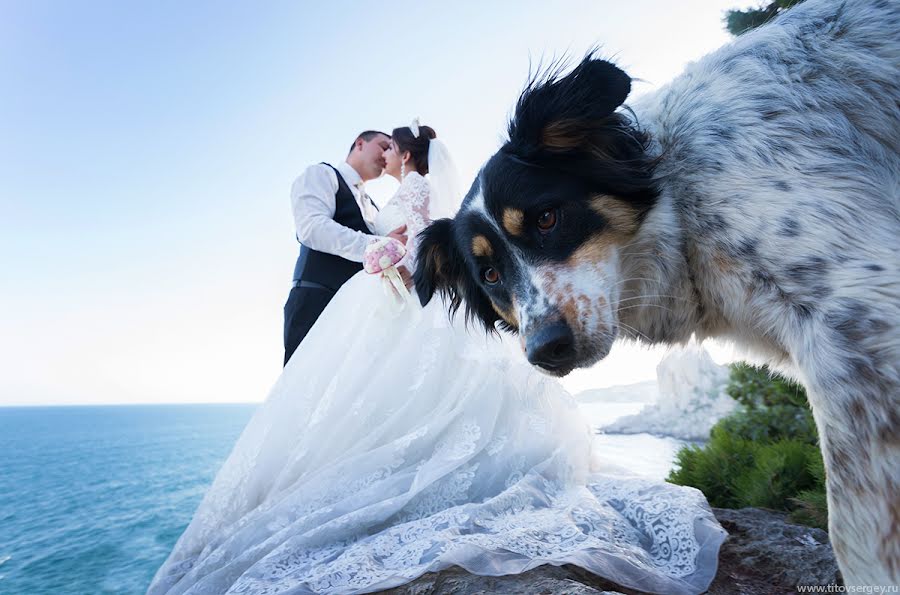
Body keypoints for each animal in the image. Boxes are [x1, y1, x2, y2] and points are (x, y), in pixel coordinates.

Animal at [414, 0, 900, 588]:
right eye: (488, 275)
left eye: (547, 218)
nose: (545, 350)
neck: (682, 205)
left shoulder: (859, 311)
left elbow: (855, 532)